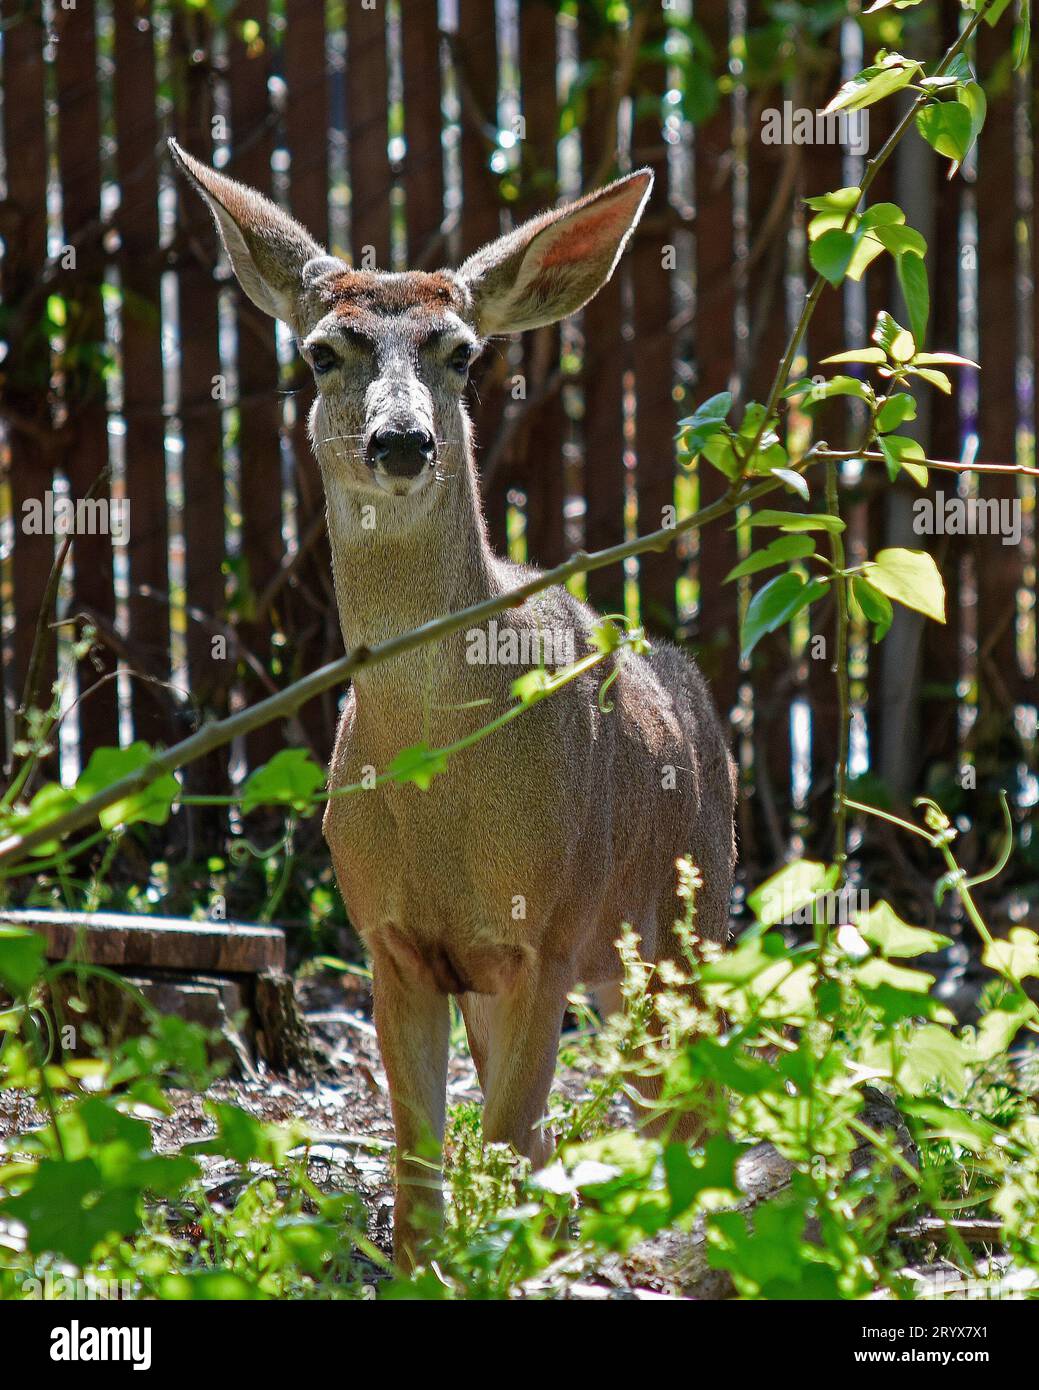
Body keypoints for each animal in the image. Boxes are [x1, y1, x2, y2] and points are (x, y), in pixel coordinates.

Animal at [172, 138, 739, 1262]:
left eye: (462, 353)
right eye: (322, 352)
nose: (401, 441)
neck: (443, 781)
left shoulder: (550, 931)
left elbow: (511, 1140)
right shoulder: (393, 943)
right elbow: (421, 1168)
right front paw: (434, 1263)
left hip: (684, 915)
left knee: (684, 1101)